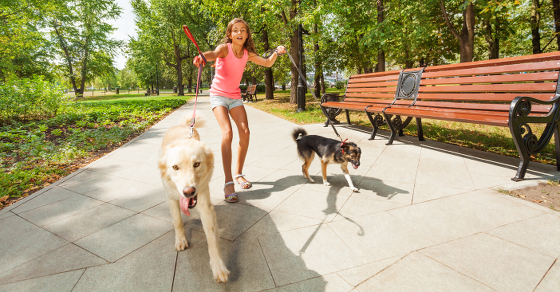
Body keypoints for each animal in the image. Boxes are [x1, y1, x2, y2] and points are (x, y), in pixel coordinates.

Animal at [158, 112, 230, 282]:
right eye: (175, 167)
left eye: (196, 164)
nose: (188, 192)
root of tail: (183, 125)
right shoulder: (171, 197)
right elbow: (178, 221)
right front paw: (181, 240)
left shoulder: (204, 204)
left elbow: (212, 237)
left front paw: (218, 266)